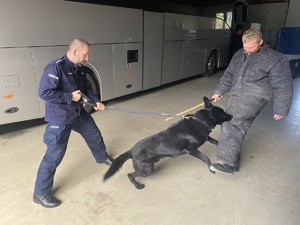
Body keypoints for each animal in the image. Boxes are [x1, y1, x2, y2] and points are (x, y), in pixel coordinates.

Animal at [103, 96, 232, 190]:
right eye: (223, 113)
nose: (232, 115)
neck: (200, 121)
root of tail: (131, 150)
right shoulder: (191, 150)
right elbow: (206, 158)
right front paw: (211, 168)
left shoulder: (205, 137)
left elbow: (213, 140)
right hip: (146, 170)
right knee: (130, 175)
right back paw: (137, 185)